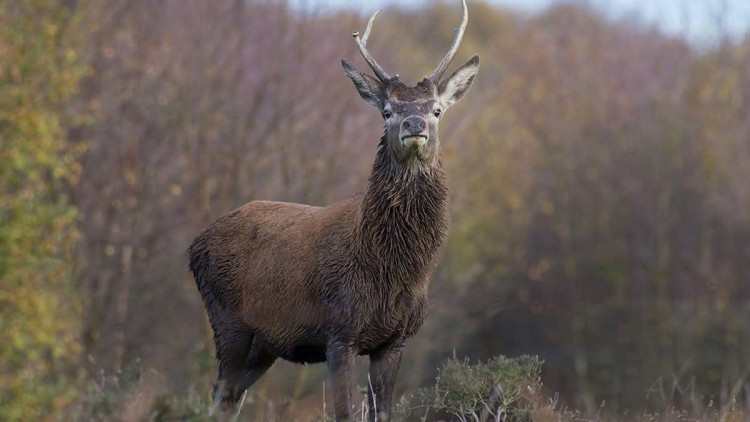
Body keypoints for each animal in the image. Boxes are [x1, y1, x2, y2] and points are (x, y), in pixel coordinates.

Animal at [188, 1, 478, 420]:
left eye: (437, 110)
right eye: (387, 110)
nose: (414, 124)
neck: (391, 268)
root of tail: (194, 245)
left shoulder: (395, 340)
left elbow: (382, 412)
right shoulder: (338, 331)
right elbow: (344, 412)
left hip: (263, 343)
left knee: (228, 399)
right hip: (226, 319)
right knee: (216, 395)